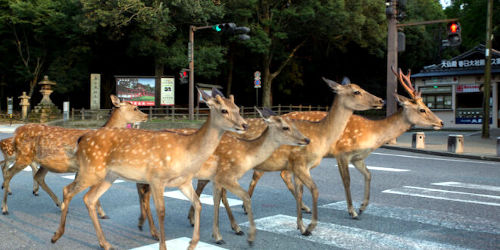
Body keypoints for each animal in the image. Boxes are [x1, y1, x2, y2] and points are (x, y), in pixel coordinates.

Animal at [0, 94, 147, 216]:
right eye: (135, 108)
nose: (146, 116)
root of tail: (16, 132)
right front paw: (102, 212)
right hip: (24, 156)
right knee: (9, 173)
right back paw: (5, 207)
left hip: (42, 162)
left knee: (38, 177)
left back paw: (58, 203)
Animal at [49, 88, 247, 250]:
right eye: (224, 110)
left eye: (238, 108)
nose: (244, 125)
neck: (187, 150)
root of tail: (81, 138)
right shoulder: (157, 178)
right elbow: (161, 211)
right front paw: (162, 244)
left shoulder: (183, 182)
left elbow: (198, 204)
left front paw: (193, 243)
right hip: (91, 170)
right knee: (68, 190)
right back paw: (56, 235)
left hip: (108, 176)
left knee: (89, 198)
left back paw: (105, 243)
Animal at [135, 107, 310, 244]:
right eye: (286, 127)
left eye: (295, 124)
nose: (306, 139)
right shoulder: (222, 174)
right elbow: (220, 199)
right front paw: (221, 235)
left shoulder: (217, 177)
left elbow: (217, 199)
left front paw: (230, 229)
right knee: (145, 191)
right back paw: (153, 231)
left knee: (143, 190)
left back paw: (143, 224)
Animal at [240, 66, 444, 219]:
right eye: (422, 109)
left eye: (426, 106)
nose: (441, 122)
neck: (372, 134)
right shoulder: (342, 153)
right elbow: (347, 180)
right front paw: (353, 211)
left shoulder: (358, 157)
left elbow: (369, 174)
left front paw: (363, 206)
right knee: (262, 172)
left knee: (281, 174)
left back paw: (302, 206)